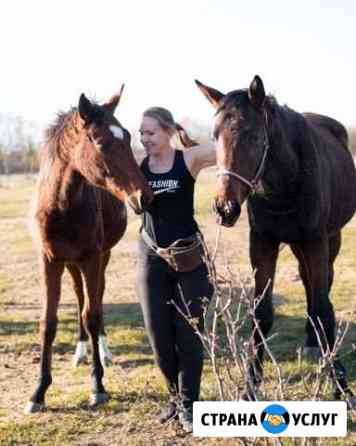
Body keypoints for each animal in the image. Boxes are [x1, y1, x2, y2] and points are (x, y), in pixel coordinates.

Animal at [25, 88, 153, 414]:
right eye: (100, 141)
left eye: (128, 137)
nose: (144, 196)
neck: (61, 206)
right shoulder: (49, 261)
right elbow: (49, 322)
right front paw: (39, 392)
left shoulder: (92, 258)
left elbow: (92, 316)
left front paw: (98, 386)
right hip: (71, 264)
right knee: (80, 295)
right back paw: (80, 352)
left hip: (100, 258)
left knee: (95, 300)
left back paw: (104, 354)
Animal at [196, 76, 356, 400]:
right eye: (214, 136)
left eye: (254, 136)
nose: (225, 208)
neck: (287, 182)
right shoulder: (262, 243)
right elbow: (262, 312)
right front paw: (250, 385)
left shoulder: (315, 242)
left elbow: (323, 308)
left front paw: (341, 384)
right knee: (307, 282)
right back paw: (312, 343)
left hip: (330, 239)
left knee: (322, 287)